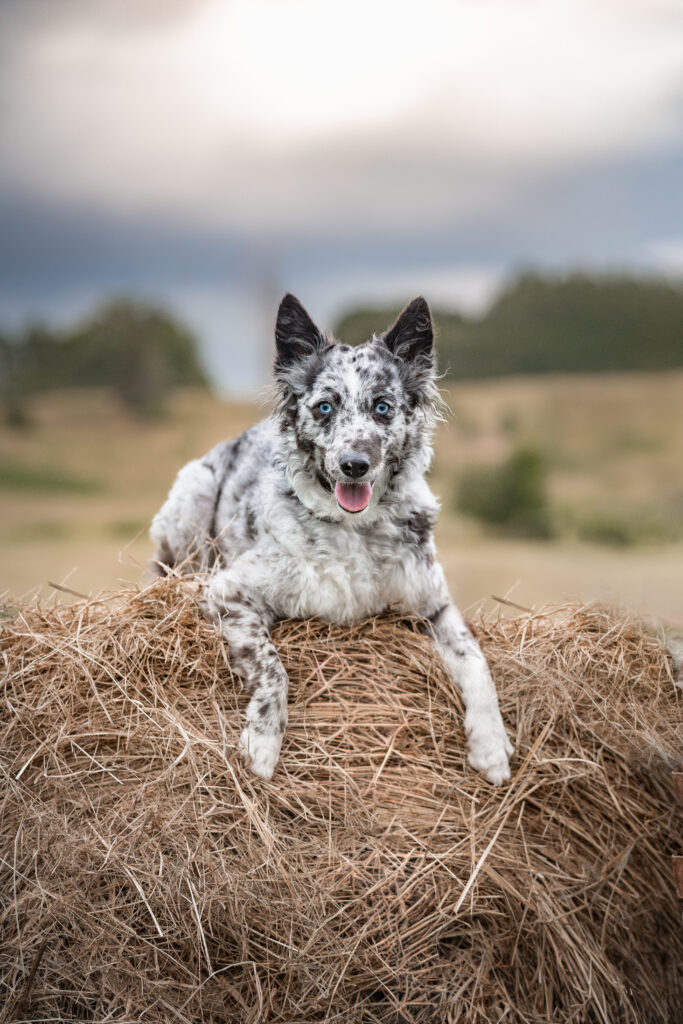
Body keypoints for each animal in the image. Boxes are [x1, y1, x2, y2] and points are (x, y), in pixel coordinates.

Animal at [149, 294, 511, 782]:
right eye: (324, 407)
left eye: (382, 406)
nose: (353, 464)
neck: (352, 528)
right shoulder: (230, 592)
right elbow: (273, 669)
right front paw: (262, 743)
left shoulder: (434, 606)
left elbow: (477, 661)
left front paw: (491, 746)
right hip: (194, 495)